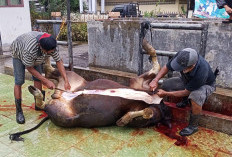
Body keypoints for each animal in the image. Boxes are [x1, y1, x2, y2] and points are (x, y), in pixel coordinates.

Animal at [9, 39, 171, 141]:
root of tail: (59, 94)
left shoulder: (144, 111)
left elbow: (146, 111)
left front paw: (122, 120)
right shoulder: (139, 83)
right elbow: (156, 67)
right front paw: (146, 44)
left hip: (65, 116)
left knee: (45, 102)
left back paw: (35, 90)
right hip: (71, 79)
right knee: (48, 73)